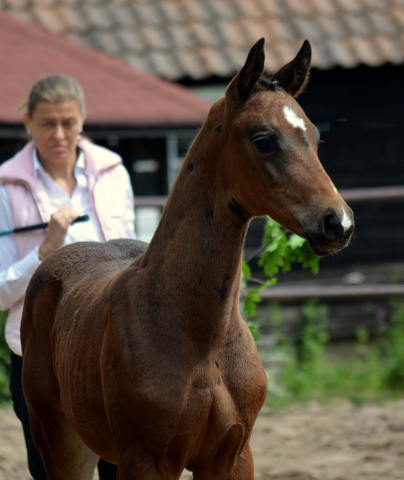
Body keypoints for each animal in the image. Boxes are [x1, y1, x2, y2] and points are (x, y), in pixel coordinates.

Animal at [21, 38, 354, 480]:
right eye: (263, 139)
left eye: (315, 138)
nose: (338, 222)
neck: (202, 338)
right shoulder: (146, 461)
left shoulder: (233, 456)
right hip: (60, 440)